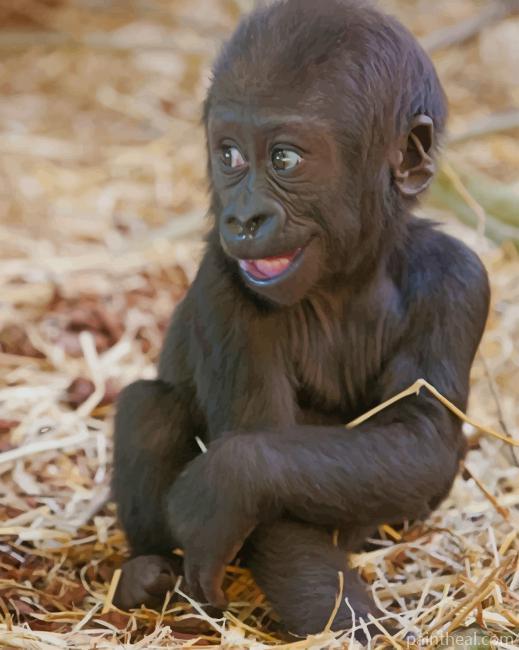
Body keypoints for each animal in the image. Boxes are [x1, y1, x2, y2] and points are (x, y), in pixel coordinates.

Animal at [112, 0, 490, 639]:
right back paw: (144, 573)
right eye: (229, 155)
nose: (243, 218)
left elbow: (420, 435)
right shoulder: (223, 286)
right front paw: (356, 622)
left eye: (284, 159)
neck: (347, 274)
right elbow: (267, 479)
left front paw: (227, 481)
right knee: (150, 409)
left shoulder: (460, 281)